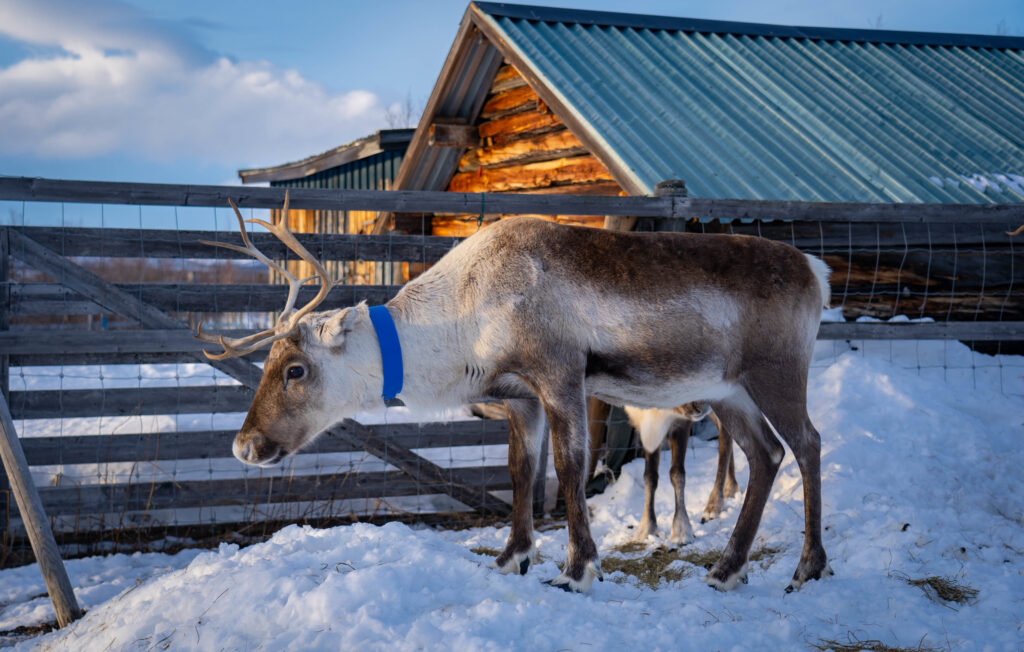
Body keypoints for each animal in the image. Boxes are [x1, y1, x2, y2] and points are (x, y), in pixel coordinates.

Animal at [624, 404, 739, 546]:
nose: (700, 407)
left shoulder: (681, 421)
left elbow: (677, 473)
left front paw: (682, 530)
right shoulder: (646, 423)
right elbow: (649, 476)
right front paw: (646, 529)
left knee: (725, 434)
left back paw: (714, 505)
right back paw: (730, 488)